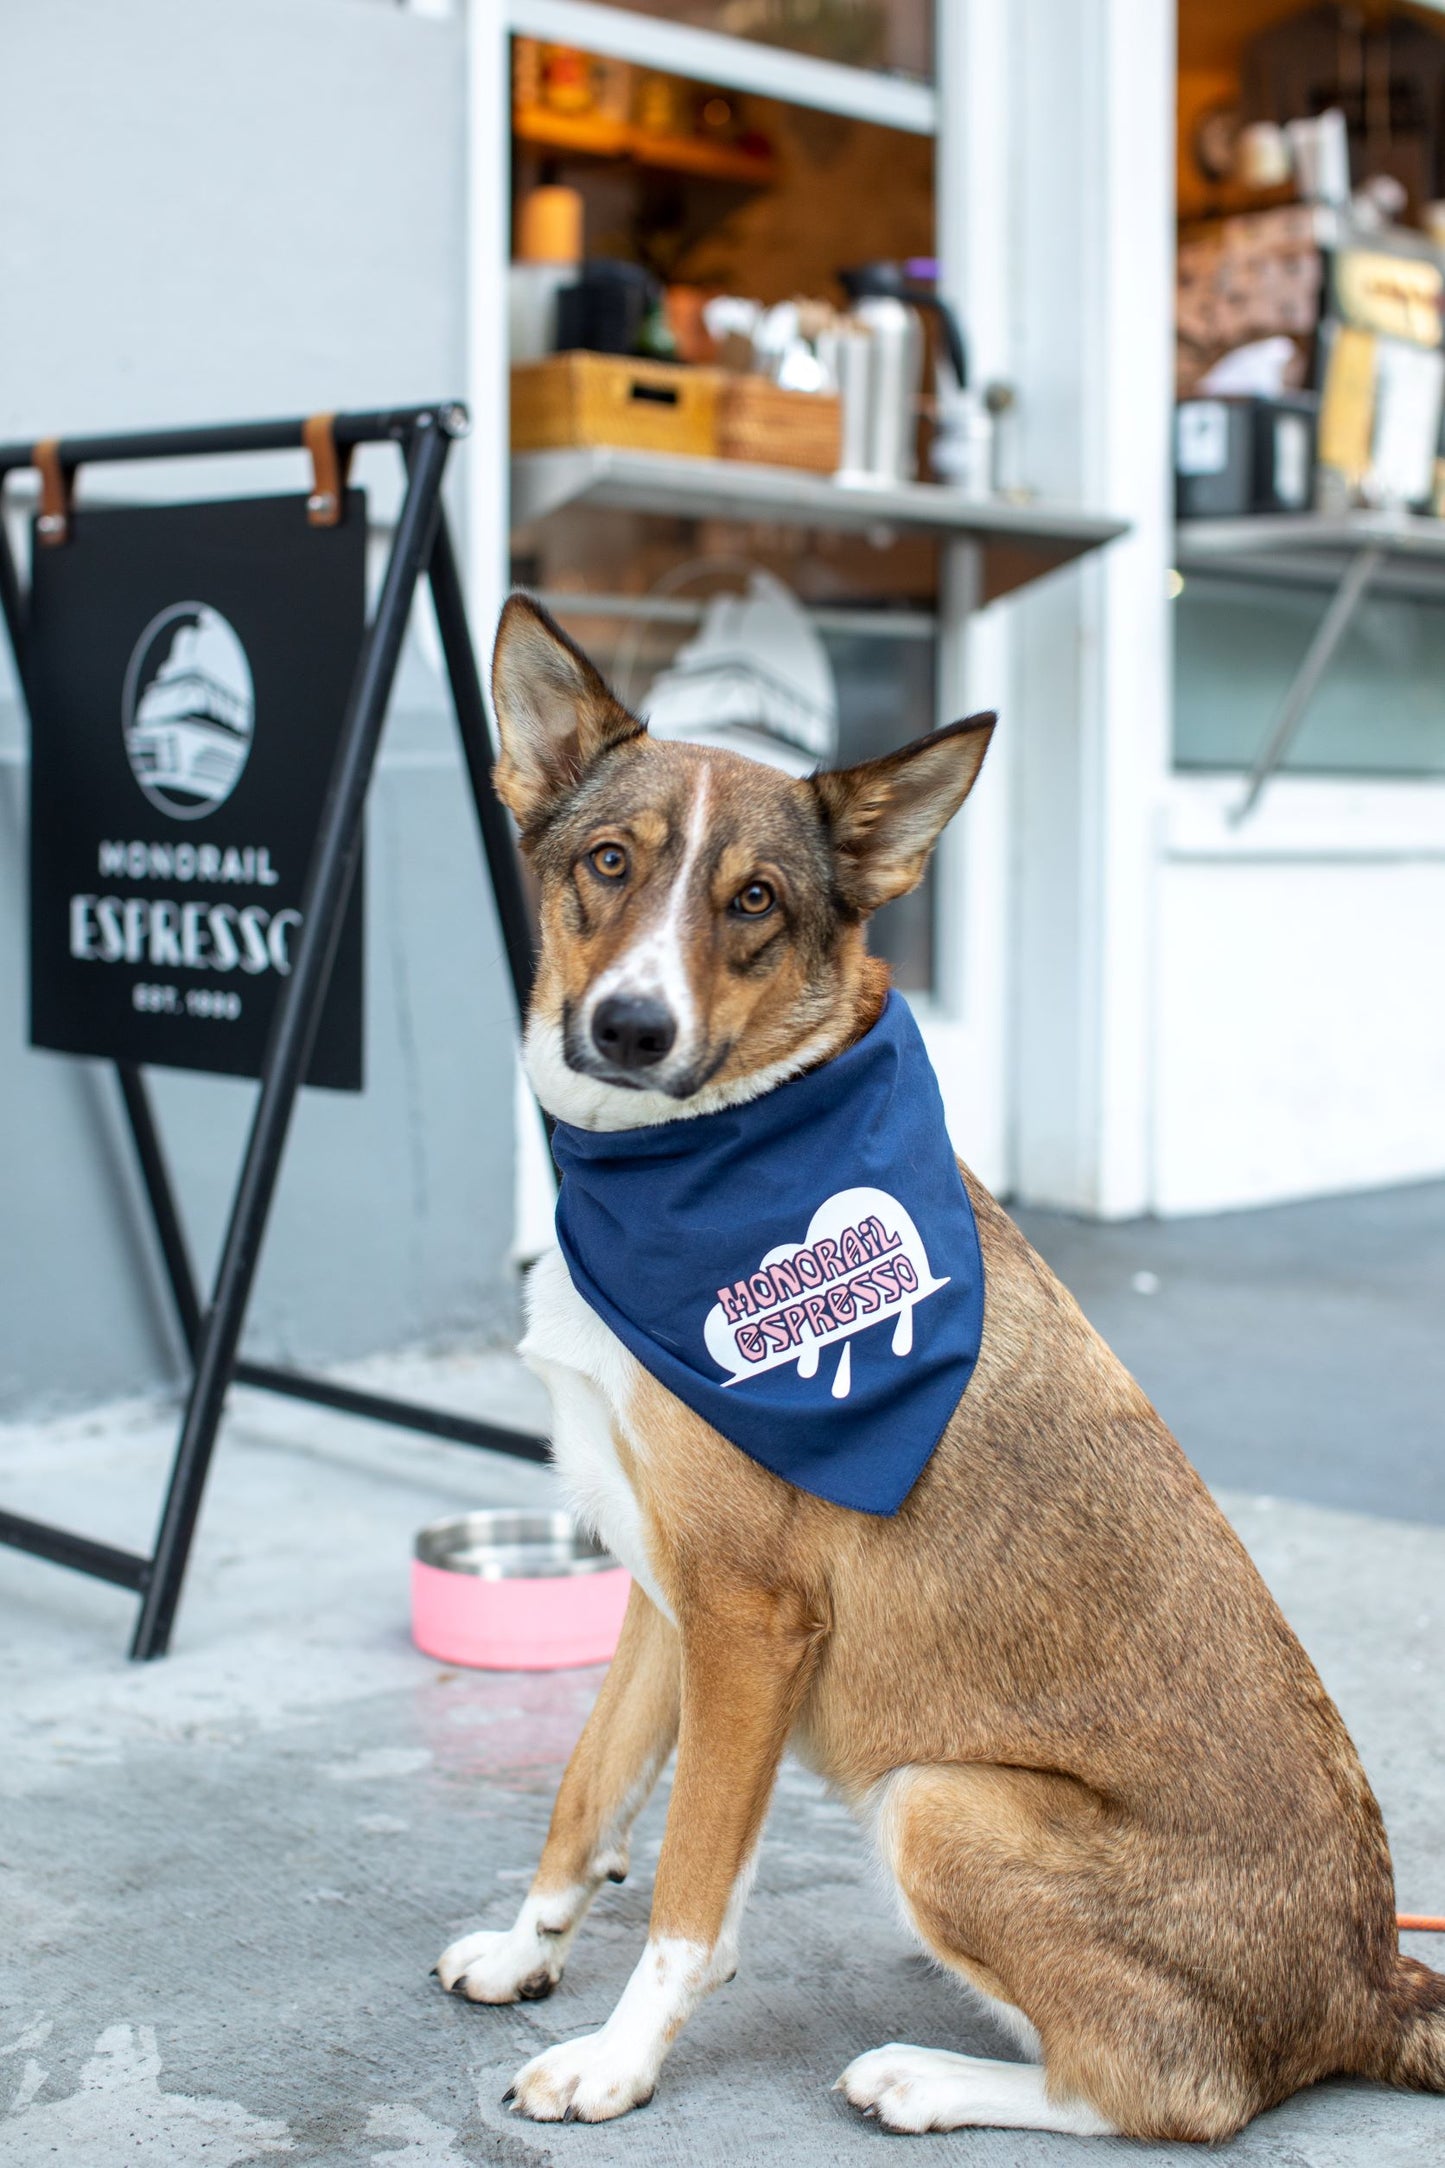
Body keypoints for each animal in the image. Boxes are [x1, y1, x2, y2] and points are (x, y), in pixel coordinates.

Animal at [437, 602, 1445, 2141]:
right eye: (608, 861)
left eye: (754, 901)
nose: (629, 1030)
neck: (695, 1162)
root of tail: (1367, 1981)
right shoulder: (666, 1603)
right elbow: (585, 1796)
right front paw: (523, 1950)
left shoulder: (748, 1622)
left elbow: (685, 1892)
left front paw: (618, 2059)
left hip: (939, 1798)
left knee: (1165, 2089)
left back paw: (928, 2076)